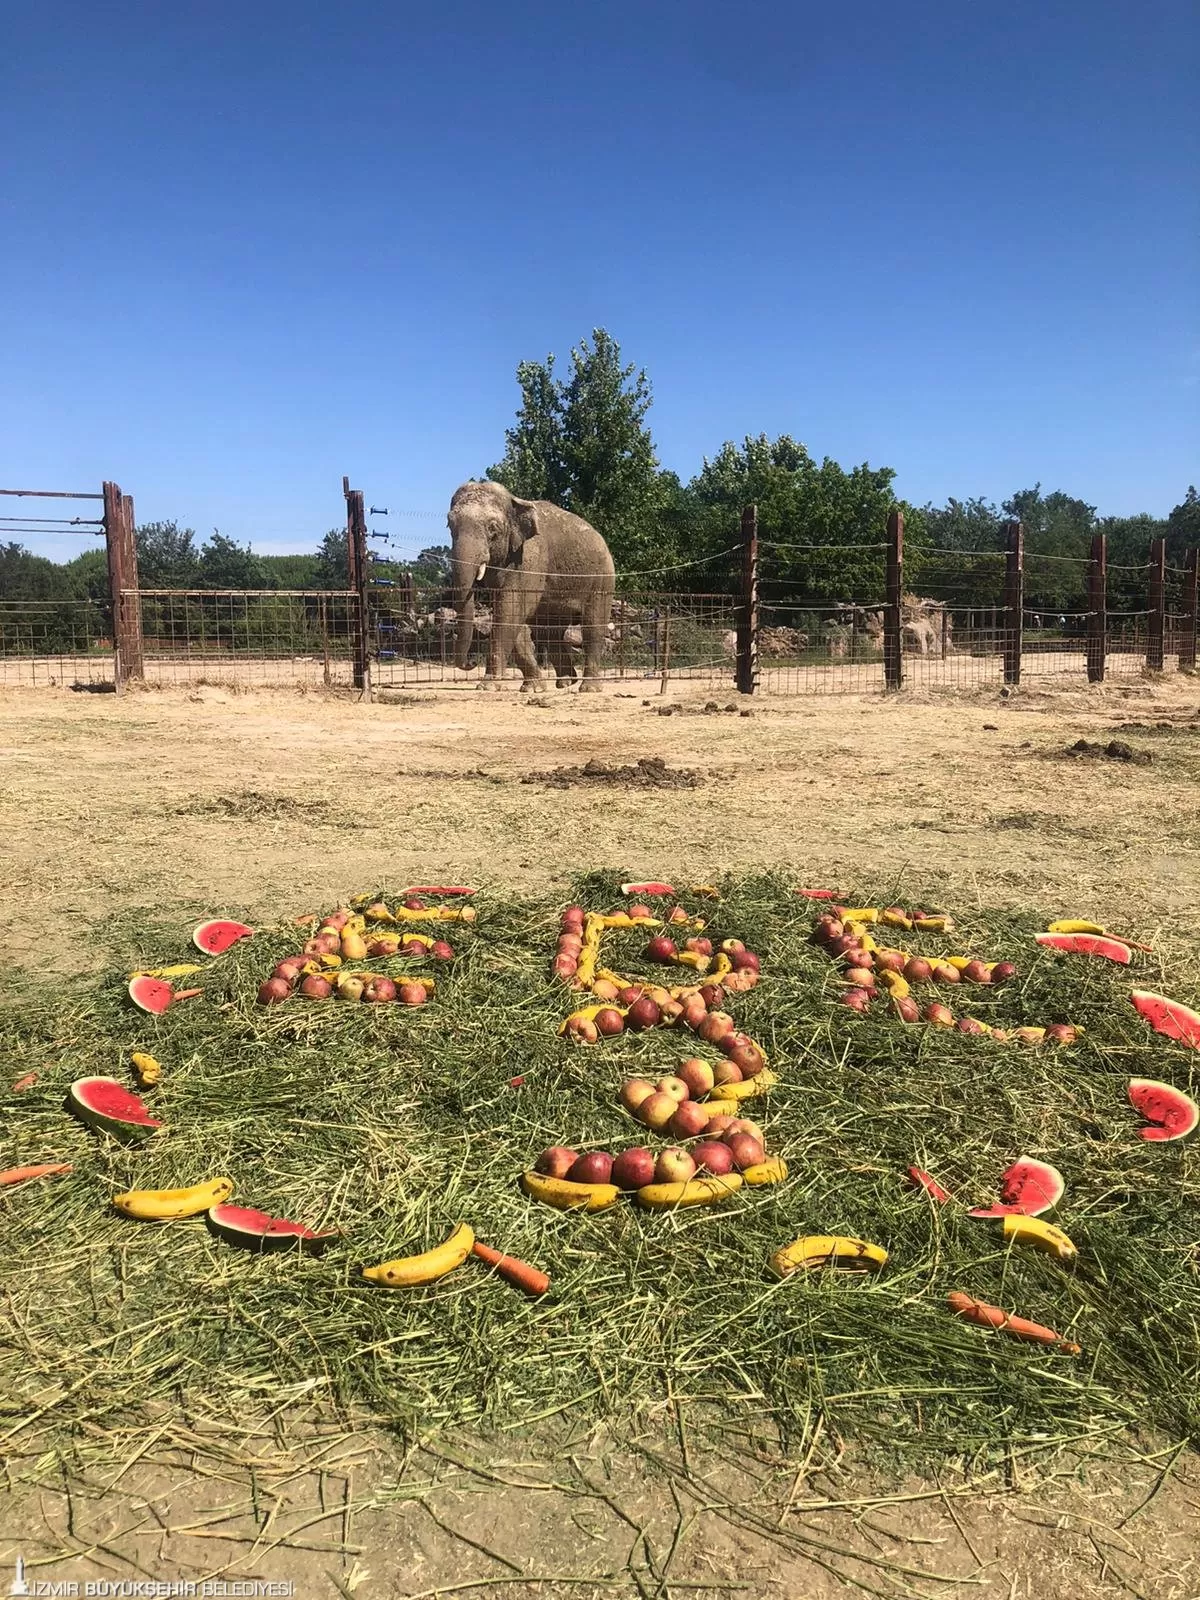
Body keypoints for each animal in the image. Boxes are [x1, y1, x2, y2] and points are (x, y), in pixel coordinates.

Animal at [451, 480, 620, 694]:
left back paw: (588, 688)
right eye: (449, 525)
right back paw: (566, 682)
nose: (471, 662)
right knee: (550, 632)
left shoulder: (530, 558)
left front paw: (487, 686)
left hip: (602, 577)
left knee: (592, 626)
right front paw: (534, 687)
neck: (514, 501)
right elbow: (514, 616)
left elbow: (511, 610)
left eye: (492, 528)